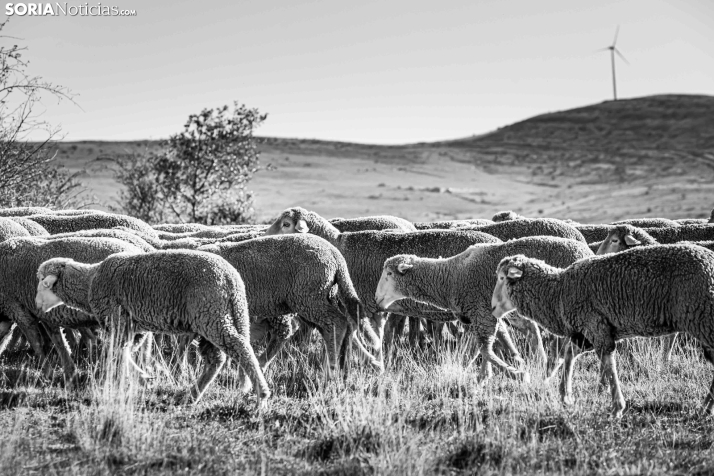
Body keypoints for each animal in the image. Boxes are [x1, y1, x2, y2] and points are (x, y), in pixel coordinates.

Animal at [0, 236, 145, 382]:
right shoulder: (44, 316)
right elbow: (59, 342)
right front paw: (70, 371)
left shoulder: (17, 309)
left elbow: (37, 344)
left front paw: (50, 373)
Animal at [33, 249, 268, 406]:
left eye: (43, 282)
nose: (36, 304)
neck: (90, 282)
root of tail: (232, 279)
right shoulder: (132, 325)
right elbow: (124, 351)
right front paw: (141, 378)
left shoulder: (116, 317)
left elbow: (117, 349)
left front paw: (132, 378)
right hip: (214, 316)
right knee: (216, 359)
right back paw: (191, 396)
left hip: (212, 313)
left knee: (239, 347)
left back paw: (261, 395)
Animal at [195, 233, 384, 376]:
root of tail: (335, 255)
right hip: (324, 296)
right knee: (344, 326)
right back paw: (349, 365)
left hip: (309, 297)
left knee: (337, 323)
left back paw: (330, 369)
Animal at [372, 238, 588, 384]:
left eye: (389, 273)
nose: (376, 298)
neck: (450, 277)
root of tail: (584, 252)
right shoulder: (482, 315)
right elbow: (483, 346)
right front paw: (486, 374)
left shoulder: (482, 312)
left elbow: (484, 347)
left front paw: (515, 374)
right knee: (534, 331)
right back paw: (545, 365)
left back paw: (551, 366)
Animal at [490, 245, 714, 416]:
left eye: (501, 278)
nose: (492, 307)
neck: (557, 292)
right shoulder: (585, 332)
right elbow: (570, 354)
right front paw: (566, 395)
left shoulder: (595, 326)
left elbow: (607, 363)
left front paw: (617, 406)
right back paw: (706, 407)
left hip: (704, 320)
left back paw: (706, 407)